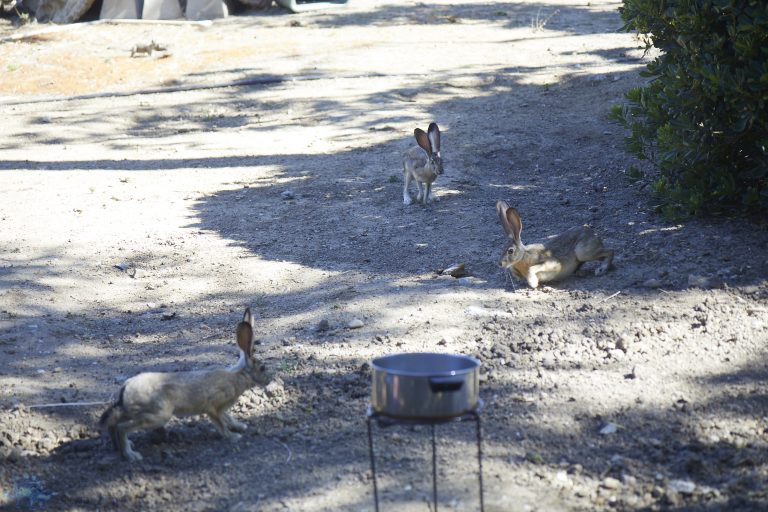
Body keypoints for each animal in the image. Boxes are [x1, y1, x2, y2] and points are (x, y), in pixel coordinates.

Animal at [99, 308, 271, 462]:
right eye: (262, 368)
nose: (269, 380)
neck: (239, 375)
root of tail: (126, 388)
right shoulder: (213, 406)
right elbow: (220, 423)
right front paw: (233, 436)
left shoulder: (222, 409)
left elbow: (228, 418)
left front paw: (240, 426)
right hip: (159, 414)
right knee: (122, 427)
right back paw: (131, 455)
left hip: (134, 410)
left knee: (113, 422)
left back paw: (119, 448)